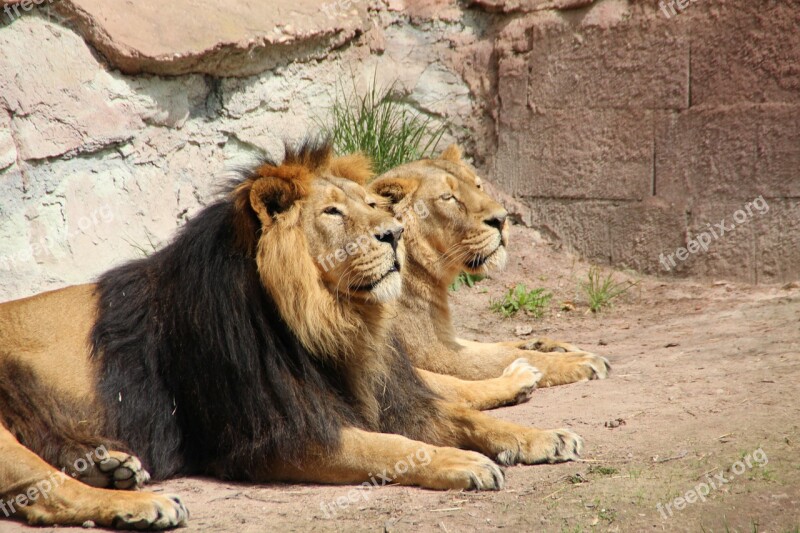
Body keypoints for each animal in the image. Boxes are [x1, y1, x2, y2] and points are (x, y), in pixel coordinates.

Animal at [3, 140, 584, 528]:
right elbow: (389, 446)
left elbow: (461, 415)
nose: (394, 234)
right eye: (331, 212)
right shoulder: (282, 433)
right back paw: (141, 503)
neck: (329, 319)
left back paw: (112, 467)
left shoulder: (390, 391)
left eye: (372, 205)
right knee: (41, 493)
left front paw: (540, 436)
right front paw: (463, 461)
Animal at [370, 145, 612, 386]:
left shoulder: (448, 339)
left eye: (478, 185)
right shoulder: (434, 354)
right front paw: (581, 361)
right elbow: (509, 356)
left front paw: (552, 345)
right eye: (448, 197)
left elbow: (499, 345)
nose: (502, 219)